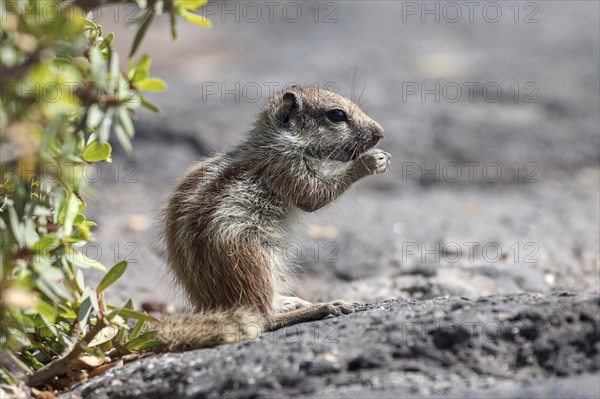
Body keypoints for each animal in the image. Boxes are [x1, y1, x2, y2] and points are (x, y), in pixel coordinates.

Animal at [156, 86, 390, 352]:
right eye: (337, 115)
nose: (381, 132)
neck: (277, 140)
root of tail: (211, 305)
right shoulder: (285, 166)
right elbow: (313, 196)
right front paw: (370, 161)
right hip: (250, 258)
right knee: (264, 316)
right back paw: (322, 307)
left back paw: (290, 301)